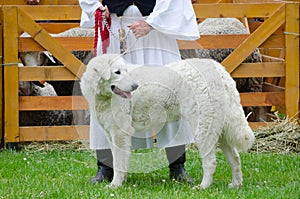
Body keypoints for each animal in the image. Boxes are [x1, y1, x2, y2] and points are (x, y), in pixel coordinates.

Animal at [80, 53, 255, 189]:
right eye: (117, 72)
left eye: (124, 71)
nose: (135, 86)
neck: (102, 96)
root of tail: (218, 69)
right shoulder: (112, 134)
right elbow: (117, 161)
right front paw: (119, 181)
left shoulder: (120, 134)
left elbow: (118, 162)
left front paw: (115, 185)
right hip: (222, 130)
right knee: (235, 158)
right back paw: (235, 184)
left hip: (203, 128)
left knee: (210, 162)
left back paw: (203, 186)